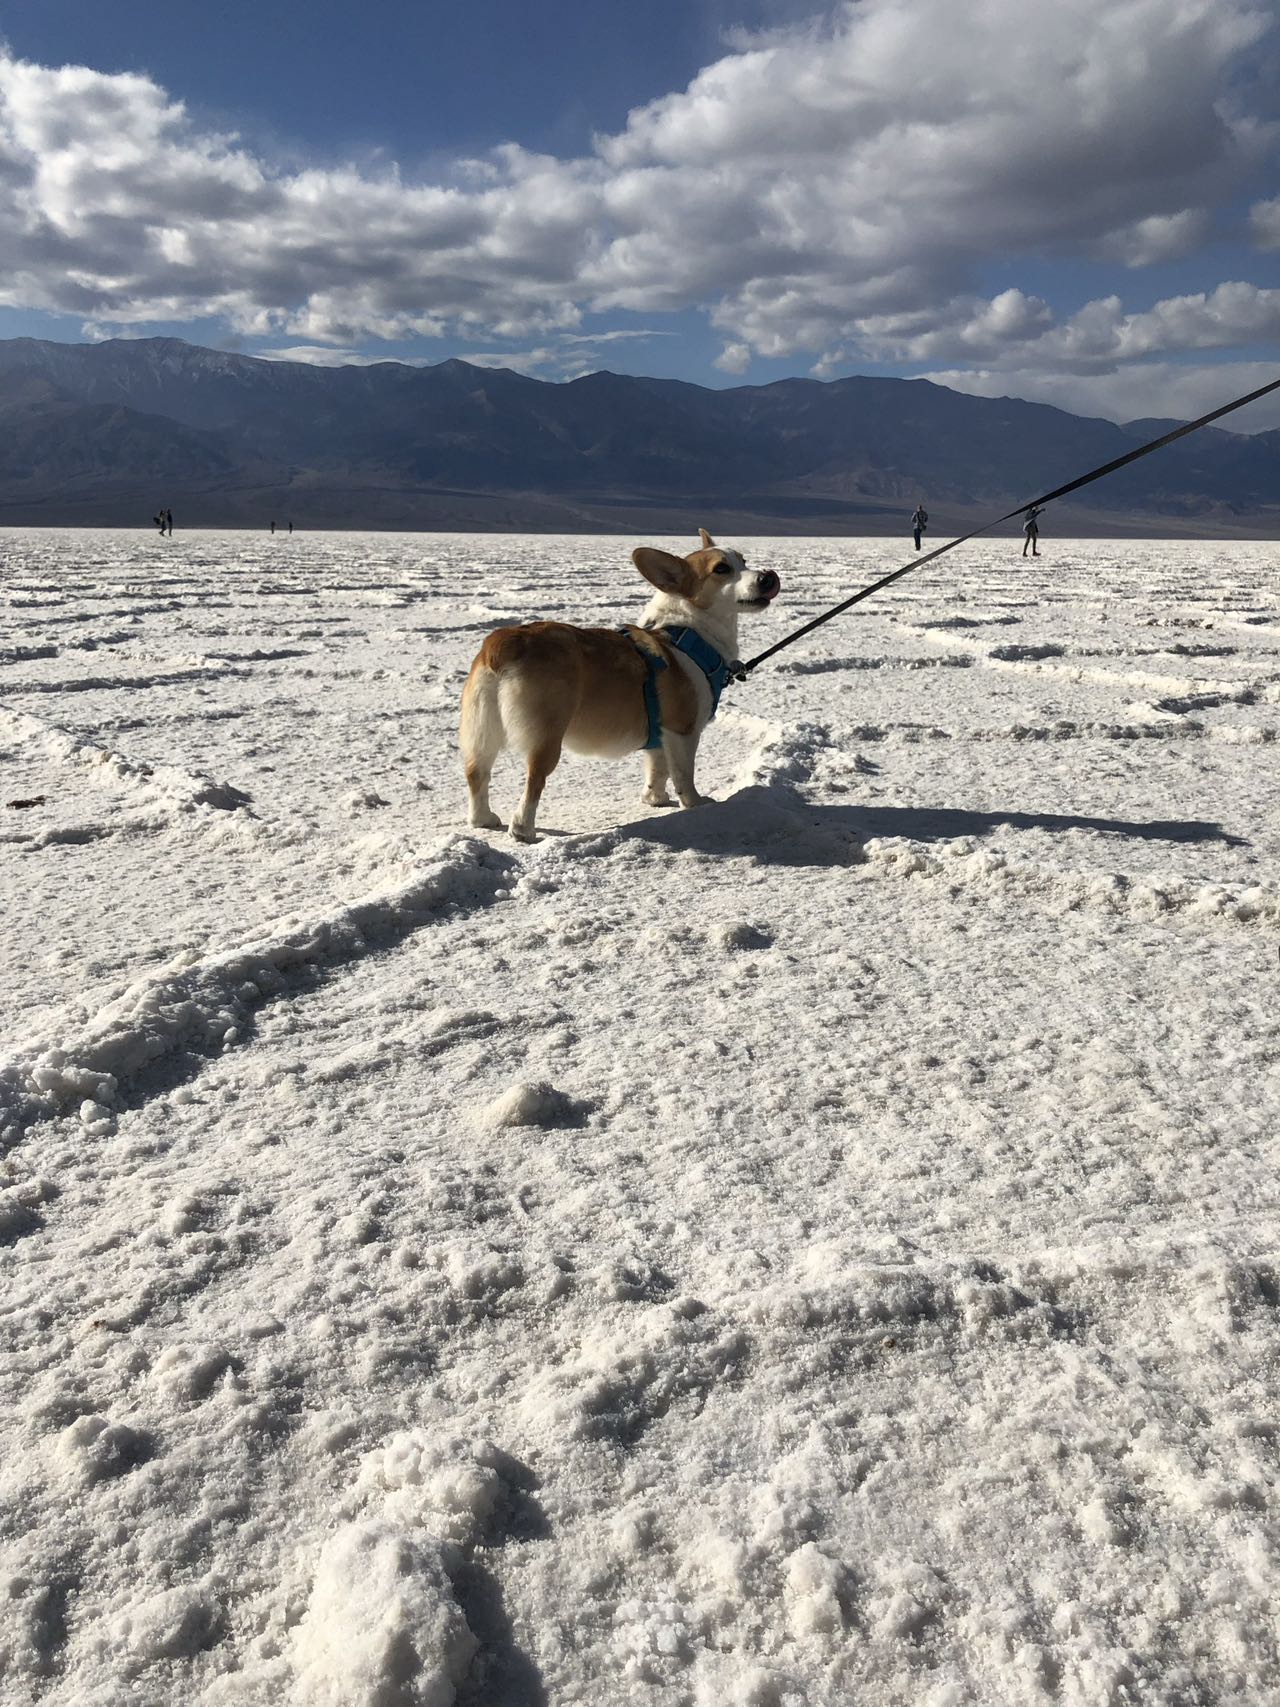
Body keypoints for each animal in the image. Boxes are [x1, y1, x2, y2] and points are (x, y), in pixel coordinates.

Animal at [460, 525, 781, 833]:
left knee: (477, 773)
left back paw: (483, 819)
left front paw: (655, 799)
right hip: (546, 737)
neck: (689, 633)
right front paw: (695, 804)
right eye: (721, 569)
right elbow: (683, 775)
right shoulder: (683, 731)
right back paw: (523, 830)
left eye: (743, 561)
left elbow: (658, 769)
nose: (768, 576)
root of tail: (503, 643)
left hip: (482, 731)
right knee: (533, 782)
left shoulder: (660, 735)